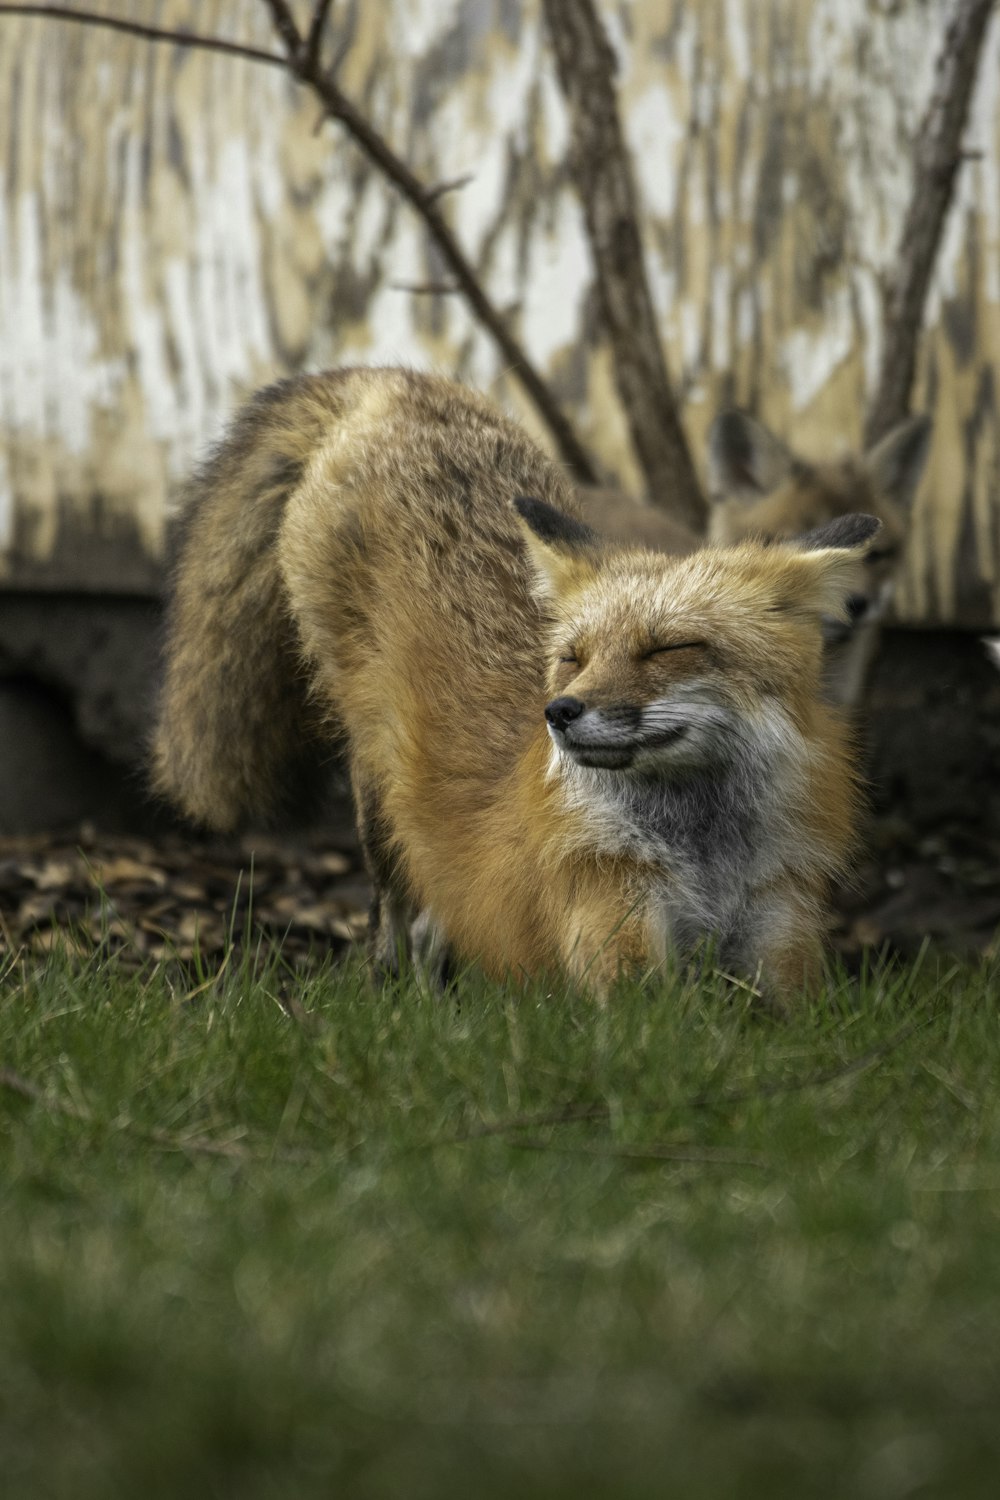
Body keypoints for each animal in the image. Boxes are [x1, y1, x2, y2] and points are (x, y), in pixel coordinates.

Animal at [152, 370, 881, 1008]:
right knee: (397, 928)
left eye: (669, 647)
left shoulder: (782, 945)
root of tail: (399, 380)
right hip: (381, 801)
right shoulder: (617, 946)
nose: (559, 711)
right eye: (572, 658)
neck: (704, 857)